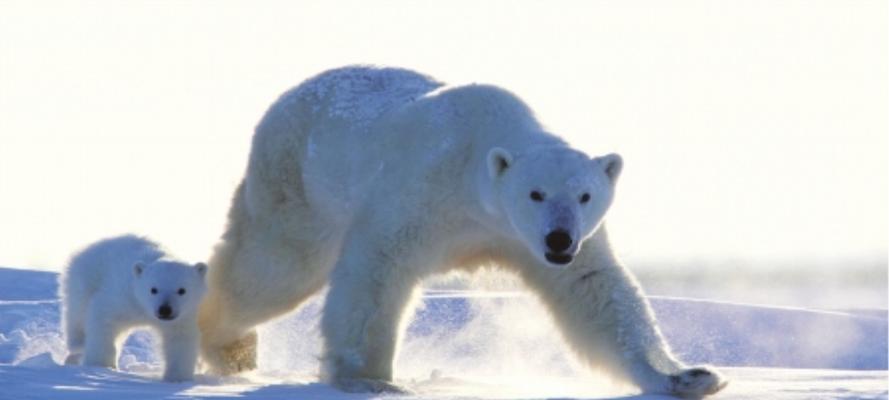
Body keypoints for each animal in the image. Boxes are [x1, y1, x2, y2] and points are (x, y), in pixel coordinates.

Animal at [61, 234, 209, 382]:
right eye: (153, 289)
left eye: (182, 290)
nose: (165, 310)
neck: (144, 308)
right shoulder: (124, 296)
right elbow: (103, 318)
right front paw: (100, 365)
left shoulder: (184, 315)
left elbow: (179, 339)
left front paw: (177, 377)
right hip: (85, 278)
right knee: (77, 315)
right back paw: (77, 345)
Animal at [198, 66, 724, 396]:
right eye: (535, 193)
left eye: (584, 195)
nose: (558, 240)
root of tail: (287, 97)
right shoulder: (423, 194)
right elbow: (376, 271)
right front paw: (368, 379)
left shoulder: (535, 238)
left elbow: (594, 289)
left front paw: (689, 377)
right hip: (298, 184)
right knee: (275, 267)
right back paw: (228, 347)